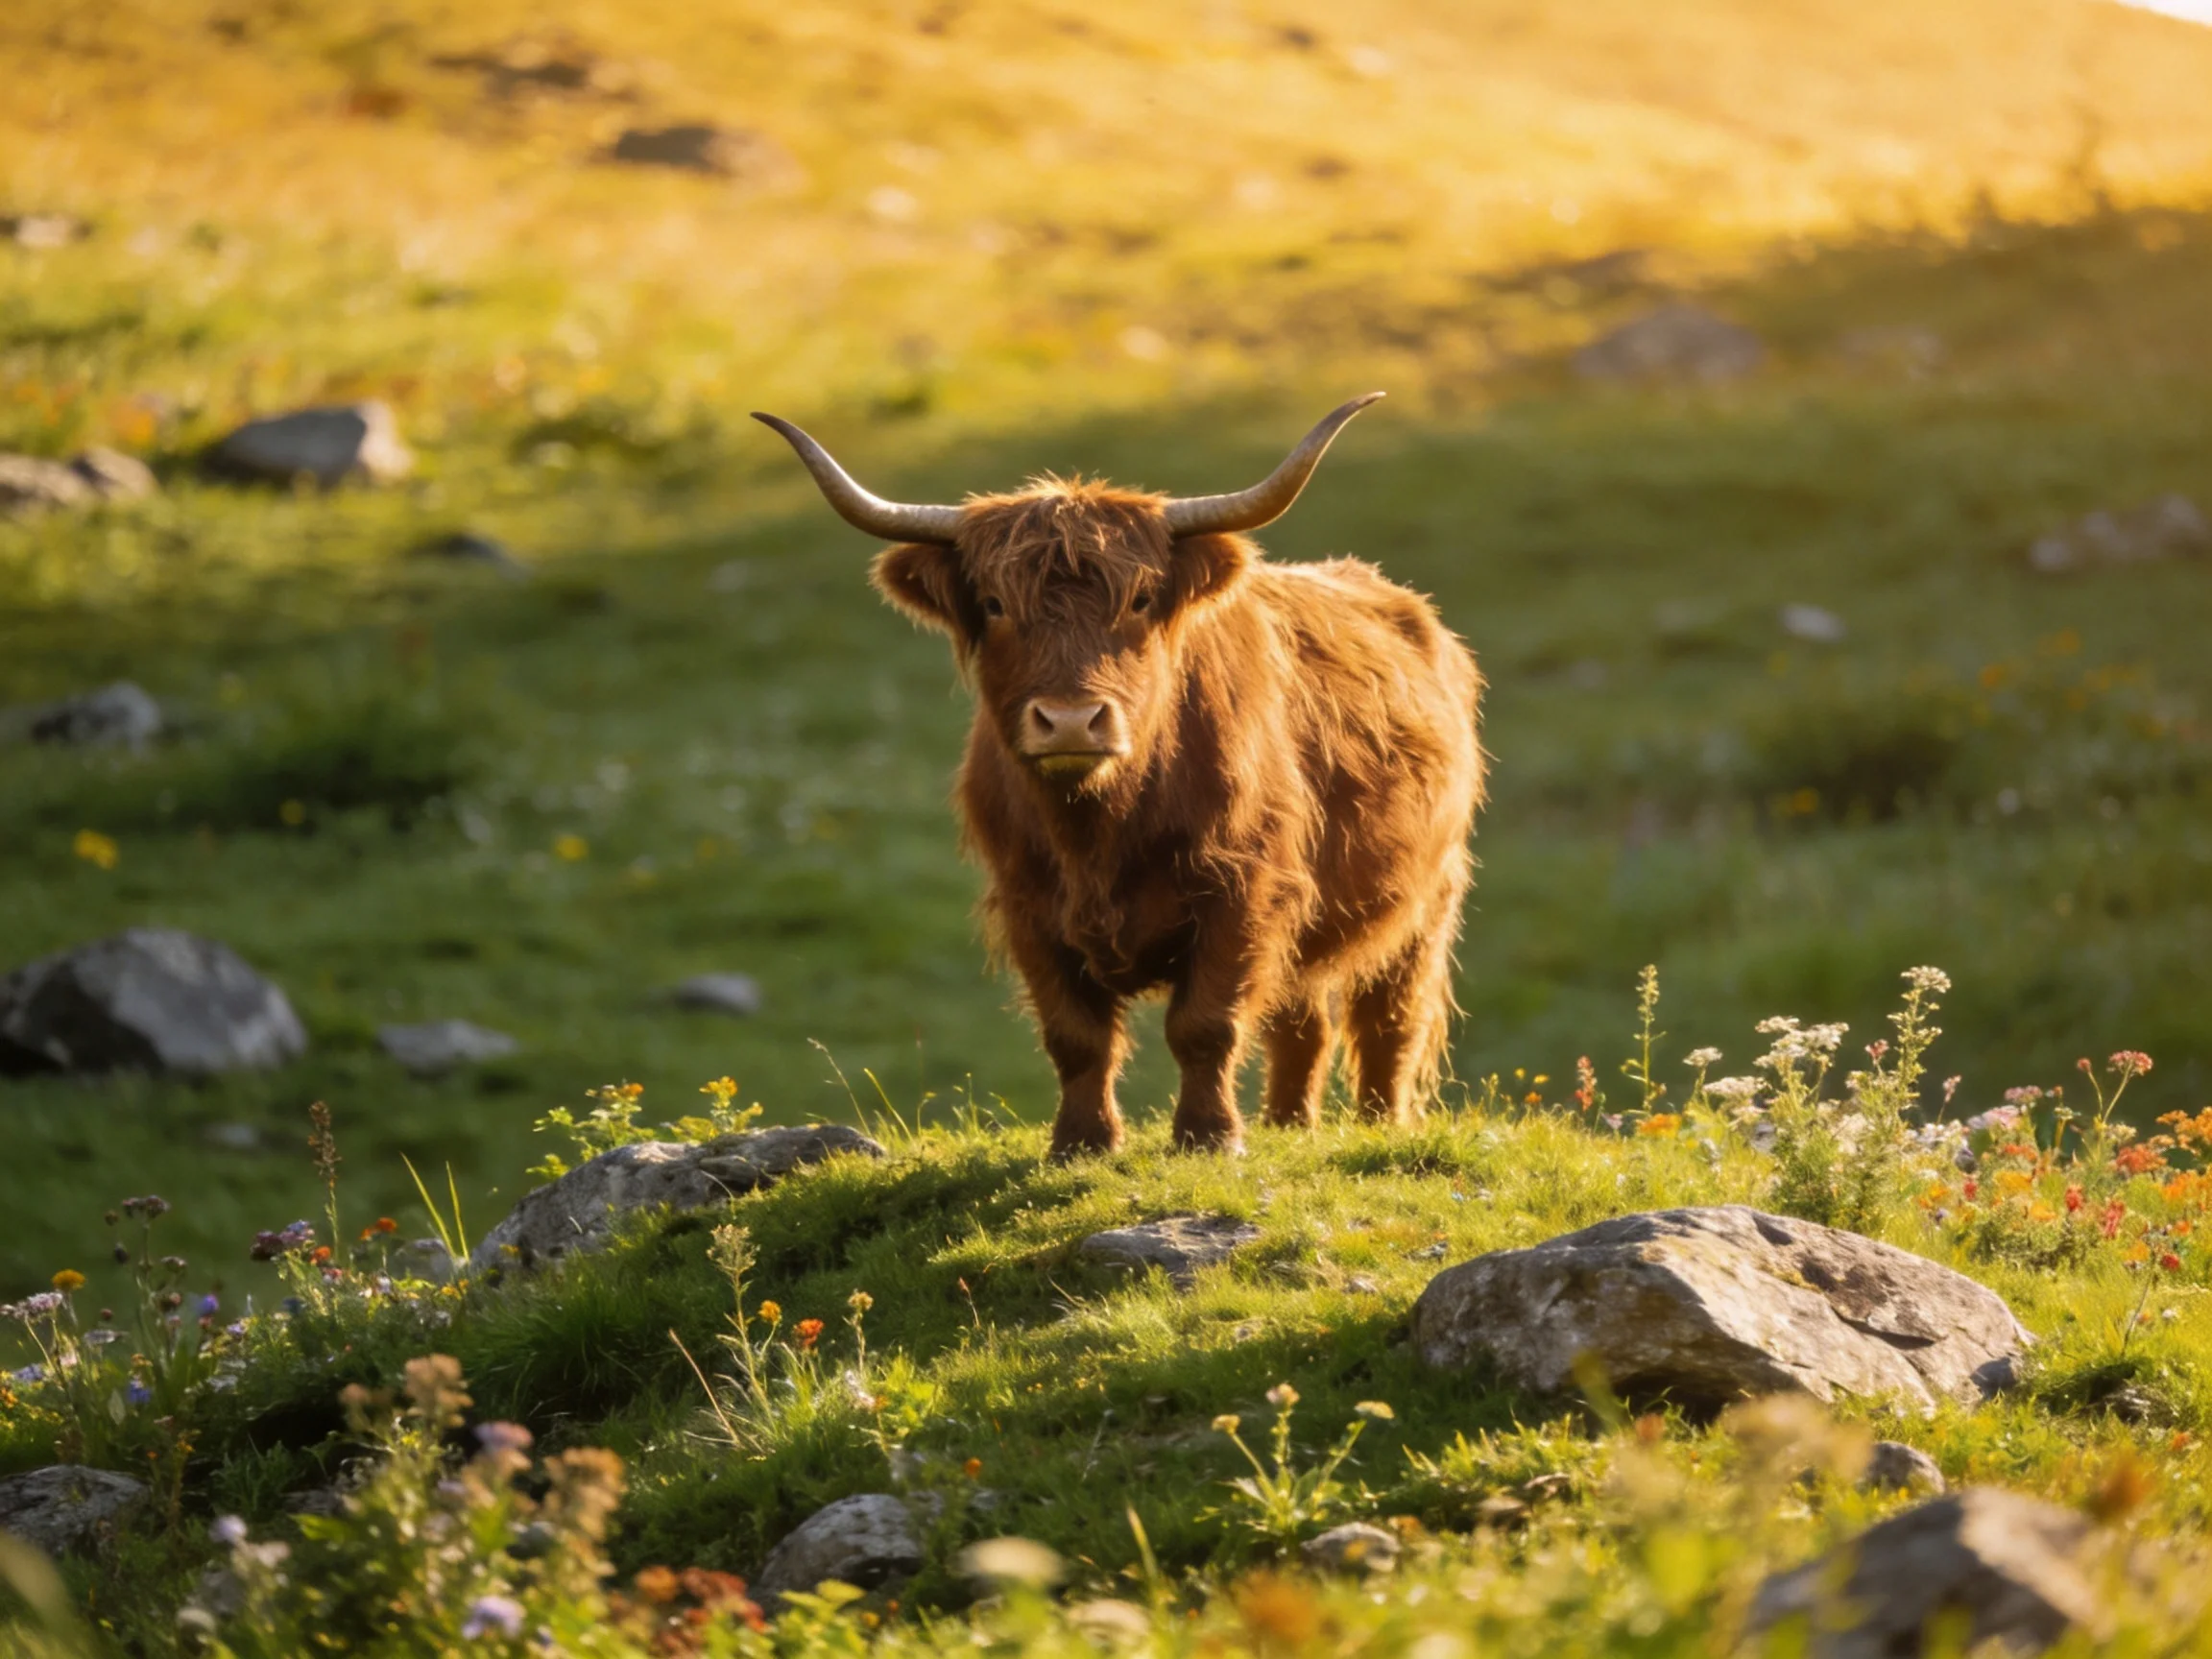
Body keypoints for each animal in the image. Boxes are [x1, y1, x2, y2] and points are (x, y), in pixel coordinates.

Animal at [756, 395, 1484, 1156]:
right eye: (994, 604)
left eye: (1138, 601)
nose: (1072, 721)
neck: (1098, 828)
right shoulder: (1029, 904)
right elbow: (1076, 1038)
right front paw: (1082, 1141)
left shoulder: (1244, 892)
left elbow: (1205, 1025)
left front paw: (1209, 1137)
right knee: (1302, 1023)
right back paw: (1289, 1125)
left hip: (1427, 897)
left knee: (1388, 1019)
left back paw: (1379, 1125)